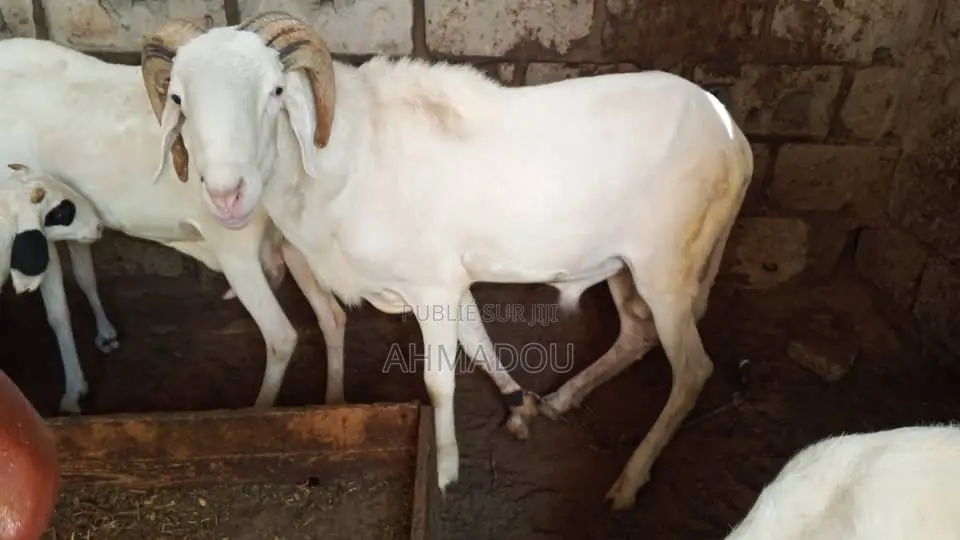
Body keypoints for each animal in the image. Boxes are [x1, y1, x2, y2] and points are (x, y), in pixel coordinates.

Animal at [138, 12, 753, 509]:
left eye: (275, 90)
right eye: (178, 100)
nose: (226, 195)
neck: (347, 161)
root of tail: (737, 139)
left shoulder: (431, 284)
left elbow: (438, 382)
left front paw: (446, 472)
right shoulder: (450, 280)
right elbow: (477, 340)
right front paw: (520, 406)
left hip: (667, 267)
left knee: (692, 370)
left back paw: (627, 481)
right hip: (624, 265)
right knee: (635, 336)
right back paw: (565, 397)